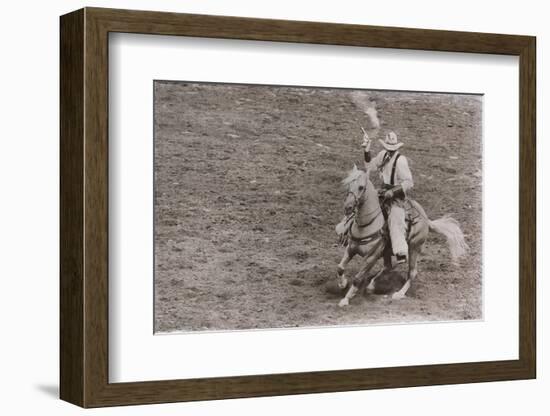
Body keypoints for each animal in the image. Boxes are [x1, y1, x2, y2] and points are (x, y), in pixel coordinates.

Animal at [334, 164, 468, 308]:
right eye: (348, 185)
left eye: (360, 187)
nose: (347, 207)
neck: (367, 224)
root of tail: (426, 219)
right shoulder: (351, 249)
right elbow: (340, 267)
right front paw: (342, 284)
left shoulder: (371, 257)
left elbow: (357, 278)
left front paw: (346, 299)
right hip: (387, 251)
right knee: (387, 267)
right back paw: (371, 286)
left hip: (414, 247)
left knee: (412, 272)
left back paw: (399, 294)